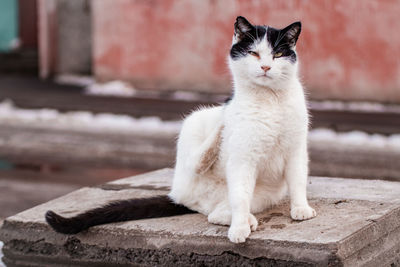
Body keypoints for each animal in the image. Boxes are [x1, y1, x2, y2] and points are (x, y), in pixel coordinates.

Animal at [169, 15, 316, 244]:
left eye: (278, 54)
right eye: (253, 53)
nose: (265, 67)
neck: (269, 99)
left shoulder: (296, 150)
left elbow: (298, 181)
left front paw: (301, 208)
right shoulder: (243, 159)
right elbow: (239, 198)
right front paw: (238, 229)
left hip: (263, 196)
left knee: (216, 213)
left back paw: (248, 219)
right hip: (192, 127)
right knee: (199, 164)